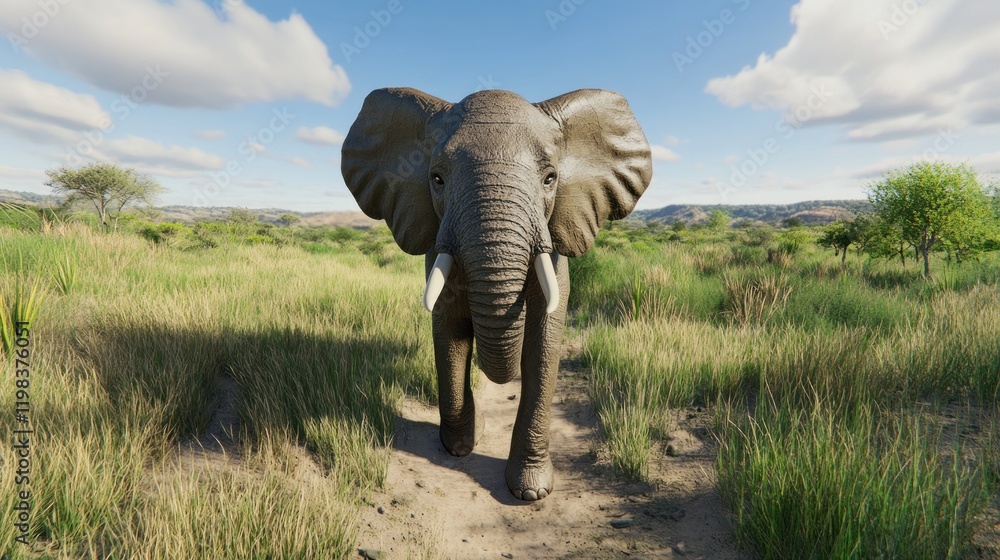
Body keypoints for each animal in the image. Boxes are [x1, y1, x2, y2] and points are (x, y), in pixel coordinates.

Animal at [341, 87, 652, 501]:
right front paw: (460, 447)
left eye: (550, 178)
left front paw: (531, 492)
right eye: (437, 179)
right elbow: (450, 334)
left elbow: (542, 344)